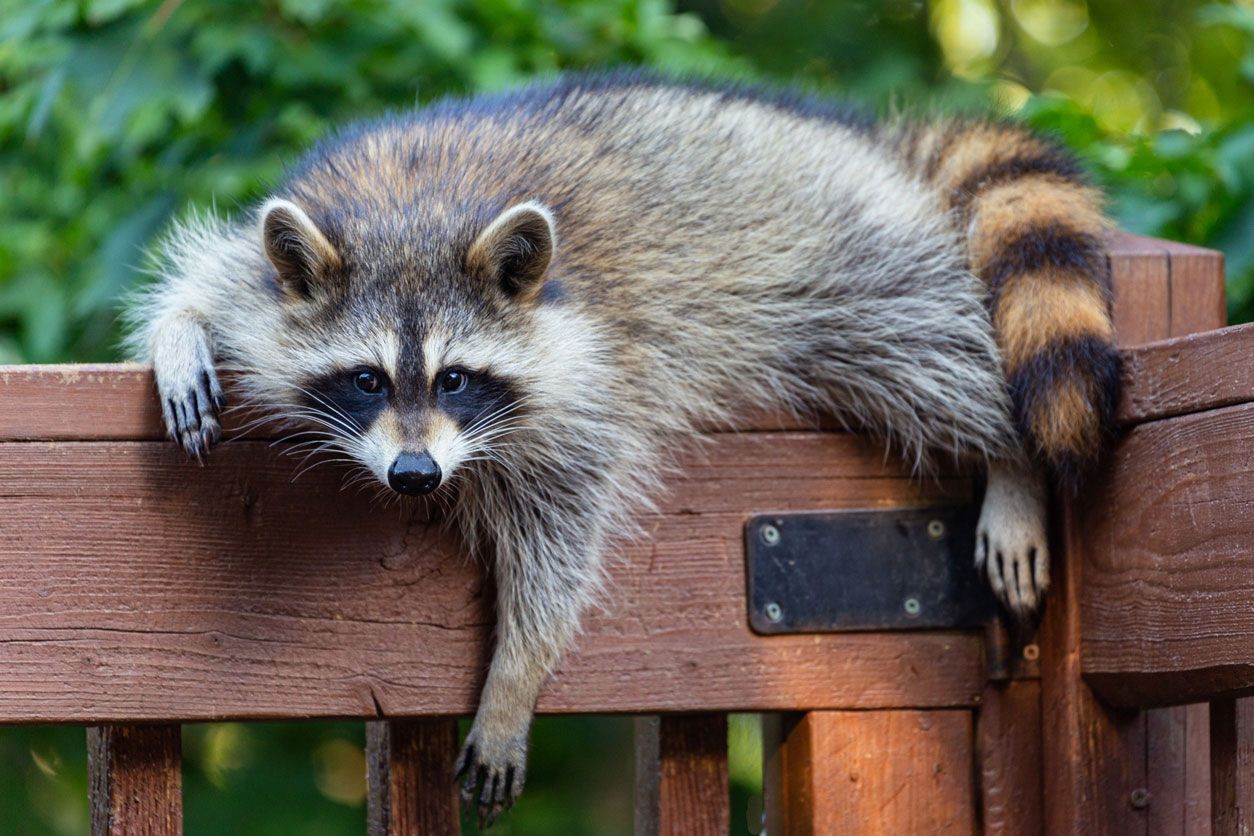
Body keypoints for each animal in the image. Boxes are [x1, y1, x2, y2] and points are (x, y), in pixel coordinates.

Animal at [126, 73, 1119, 825]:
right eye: (367, 380)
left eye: (456, 379)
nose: (414, 475)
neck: (416, 212)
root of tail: (870, 142)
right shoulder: (275, 266)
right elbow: (210, 278)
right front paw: (181, 332)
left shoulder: (587, 380)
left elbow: (561, 538)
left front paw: (515, 675)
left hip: (844, 260)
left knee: (932, 354)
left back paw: (1010, 456)